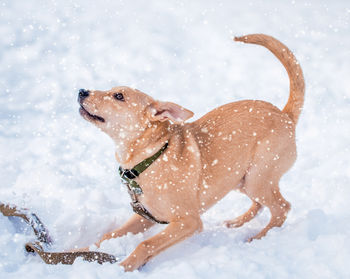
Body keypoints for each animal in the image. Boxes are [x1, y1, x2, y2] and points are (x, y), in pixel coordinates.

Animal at [76, 34, 304, 272]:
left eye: (118, 96)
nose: (82, 91)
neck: (151, 157)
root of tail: (285, 115)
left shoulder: (188, 221)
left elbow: (146, 244)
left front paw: (124, 266)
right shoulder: (145, 216)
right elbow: (108, 236)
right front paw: (81, 252)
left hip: (257, 177)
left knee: (282, 208)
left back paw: (259, 237)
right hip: (240, 178)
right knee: (261, 204)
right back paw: (236, 222)